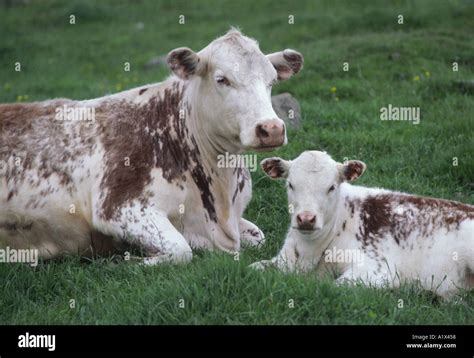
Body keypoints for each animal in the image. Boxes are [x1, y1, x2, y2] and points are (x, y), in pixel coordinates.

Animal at [0, 30, 304, 266]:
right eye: (222, 79)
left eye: (271, 80)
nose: (271, 128)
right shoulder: (119, 206)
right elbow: (181, 250)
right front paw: (128, 260)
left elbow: (258, 235)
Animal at [250, 150, 472, 296]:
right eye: (290, 184)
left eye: (332, 187)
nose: (306, 219)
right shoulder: (283, 260)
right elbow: (253, 267)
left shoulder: (378, 269)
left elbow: (336, 285)